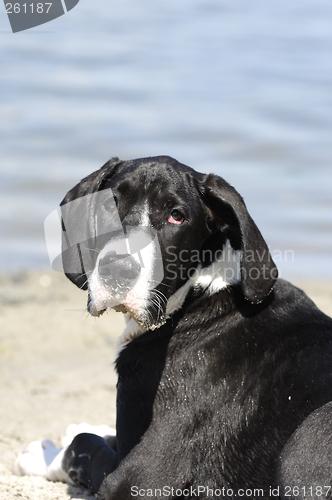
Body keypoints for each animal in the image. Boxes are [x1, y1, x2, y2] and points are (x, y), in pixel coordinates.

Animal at [14, 155, 332, 496]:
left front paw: (42, 454)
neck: (198, 294)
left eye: (176, 216)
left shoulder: (138, 478)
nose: (118, 269)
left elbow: (82, 445)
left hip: (307, 436)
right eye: (110, 204)